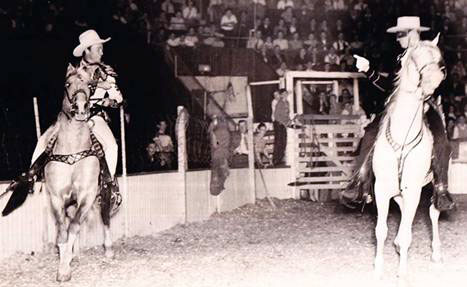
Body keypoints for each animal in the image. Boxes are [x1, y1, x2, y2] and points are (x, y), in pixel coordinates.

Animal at [45, 64, 115, 282]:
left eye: (90, 85)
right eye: (67, 84)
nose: (81, 108)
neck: (72, 150)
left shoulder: (87, 195)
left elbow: (74, 227)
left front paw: (64, 269)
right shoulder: (57, 197)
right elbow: (62, 232)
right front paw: (64, 265)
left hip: (104, 193)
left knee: (105, 217)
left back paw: (109, 251)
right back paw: (74, 255)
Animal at [372, 35, 446, 284]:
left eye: (439, 59)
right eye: (415, 58)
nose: (435, 80)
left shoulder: (412, 188)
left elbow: (407, 232)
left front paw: (402, 272)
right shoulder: (381, 188)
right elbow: (381, 230)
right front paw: (378, 268)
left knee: (433, 212)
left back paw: (436, 253)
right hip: (398, 191)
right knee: (404, 212)